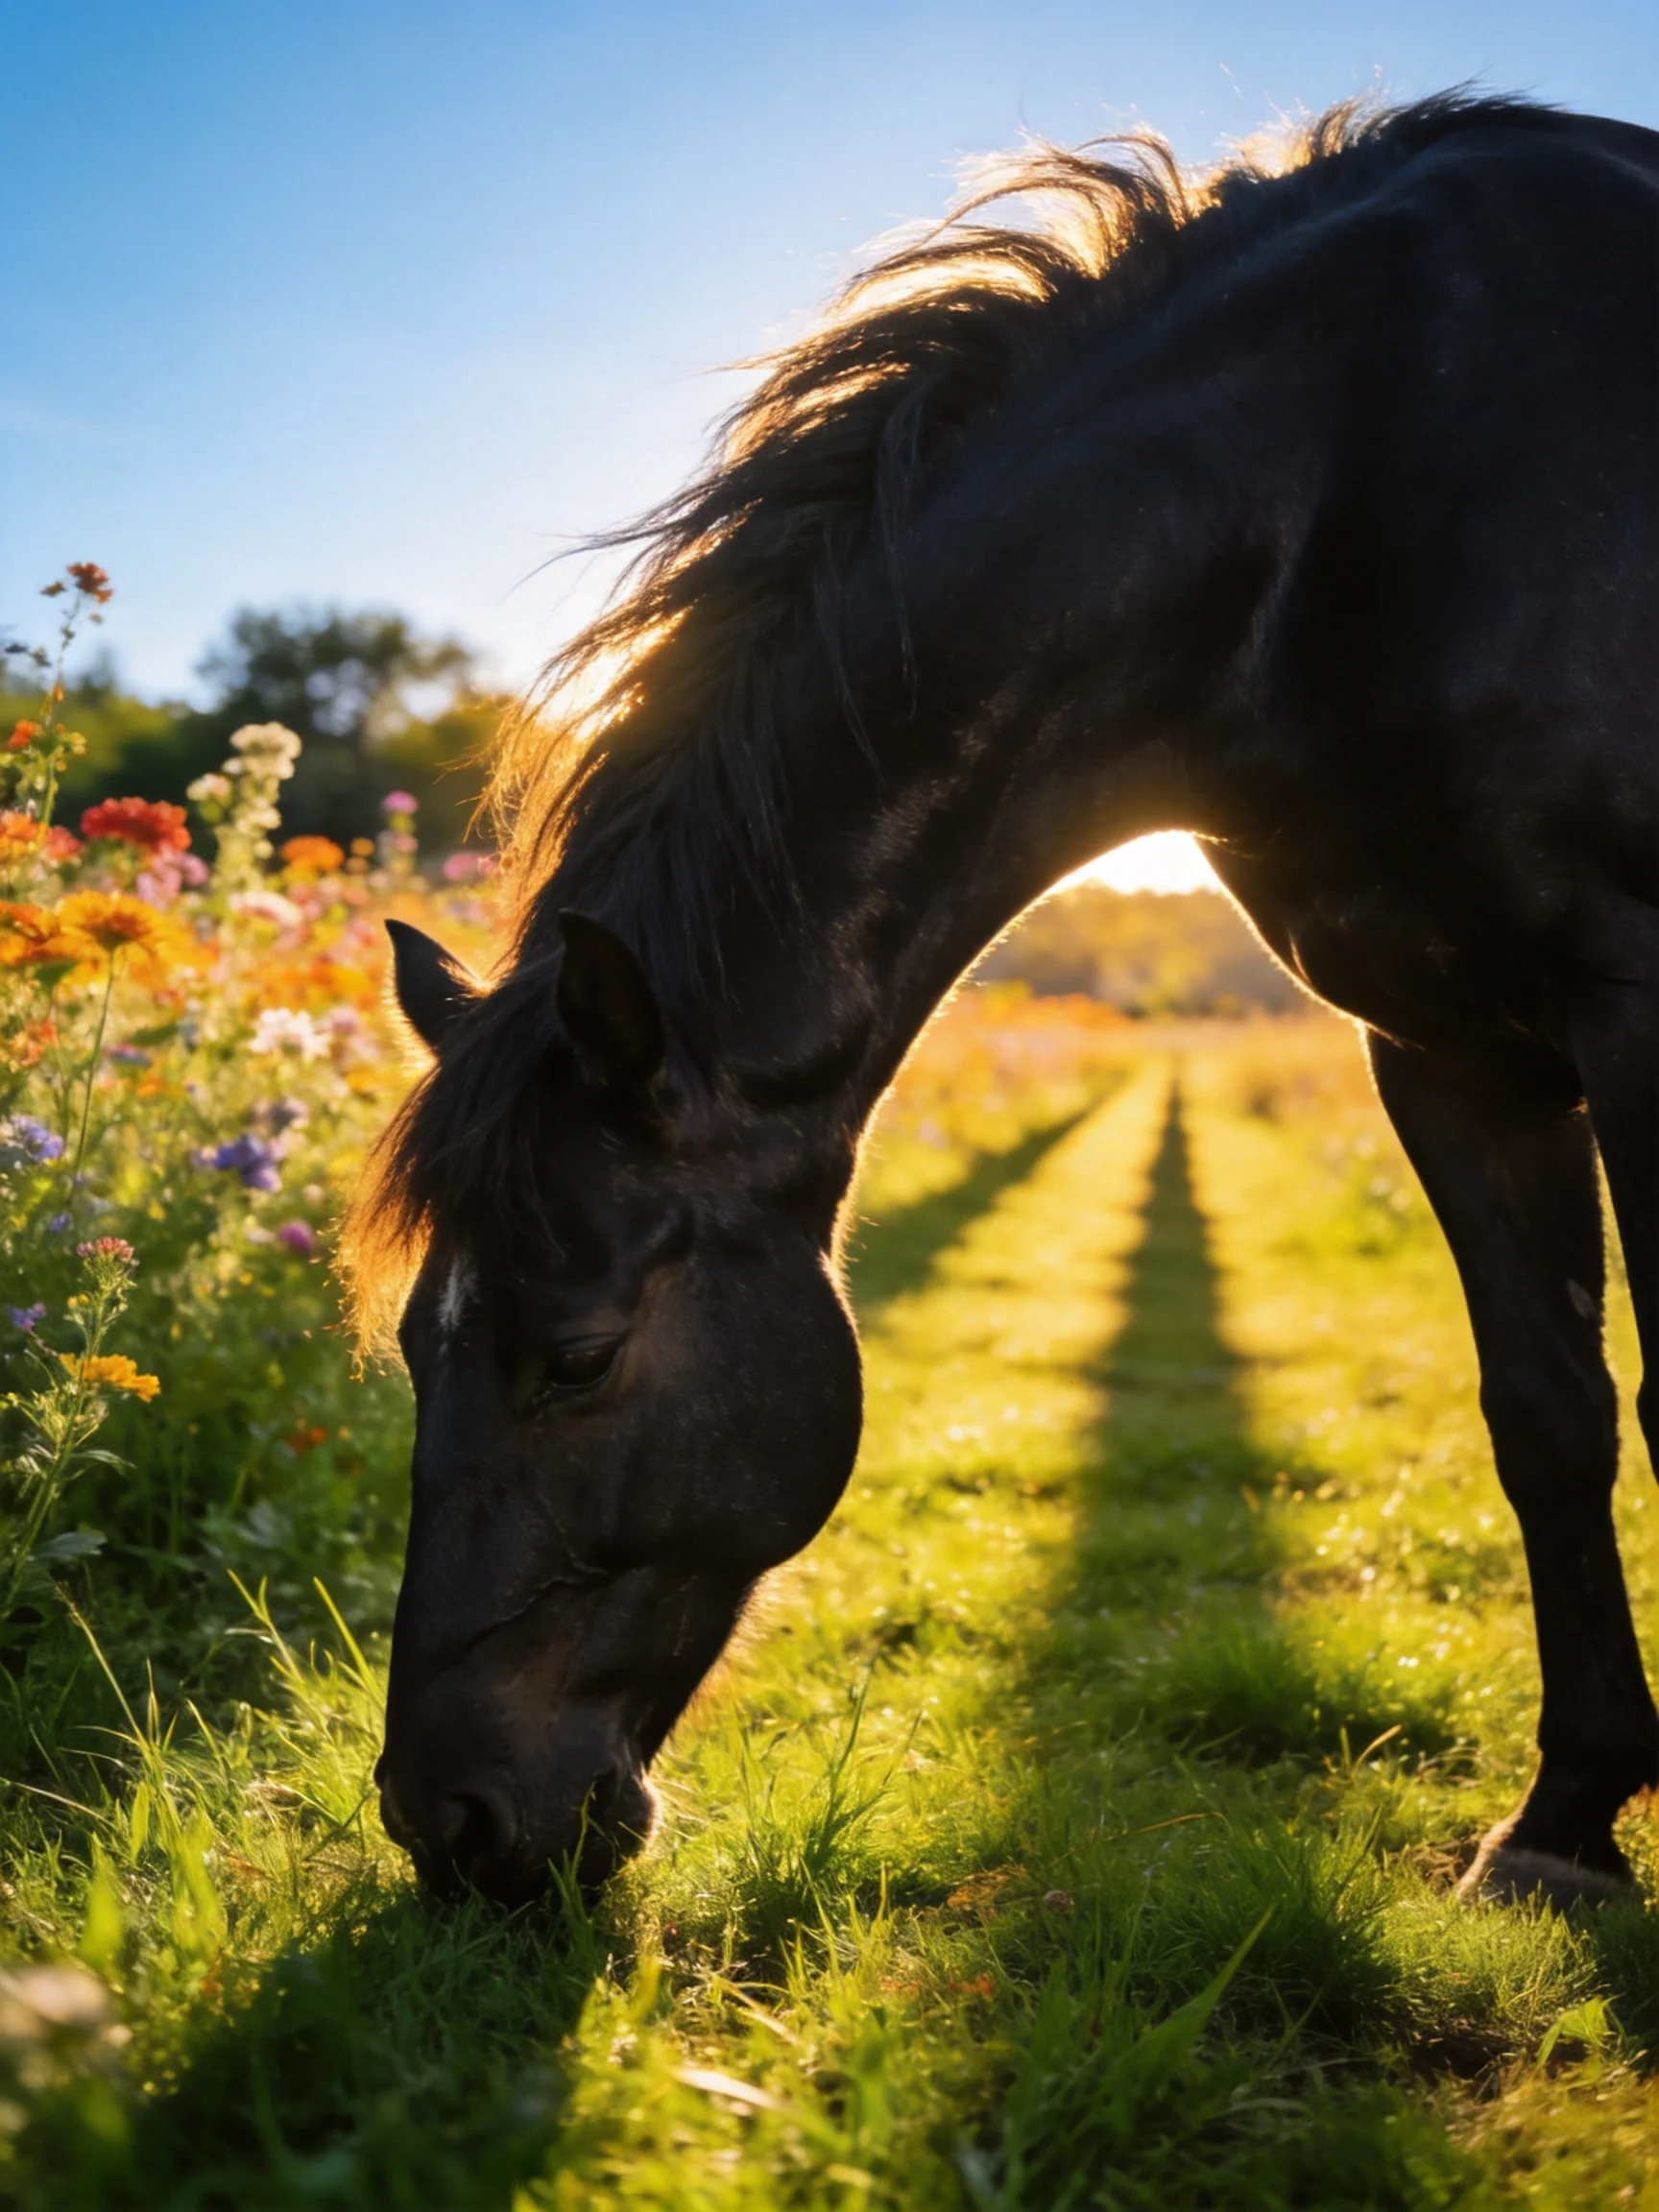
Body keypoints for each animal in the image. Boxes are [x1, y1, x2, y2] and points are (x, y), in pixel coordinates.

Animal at [348, 93, 1659, 1911]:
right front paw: (1562, 1824)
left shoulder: (1634, 998)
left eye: (579, 1357)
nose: (446, 1821)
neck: (1354, 484)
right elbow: (1547, 1415)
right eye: (417, 1338)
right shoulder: (1445, 1048)